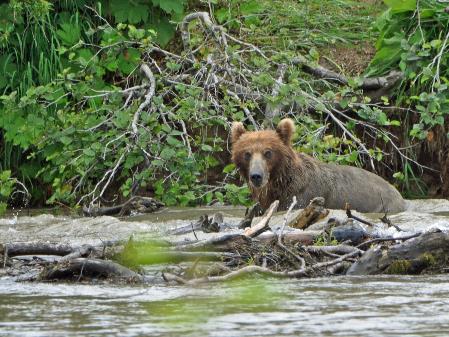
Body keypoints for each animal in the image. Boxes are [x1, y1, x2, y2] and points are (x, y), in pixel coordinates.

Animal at [231, 118, 406, 213]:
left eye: (268, 152)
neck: (280, 182)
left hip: (383, 205)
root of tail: (399, 194)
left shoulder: (301, 196)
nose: (256, 176)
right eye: (247, 153)